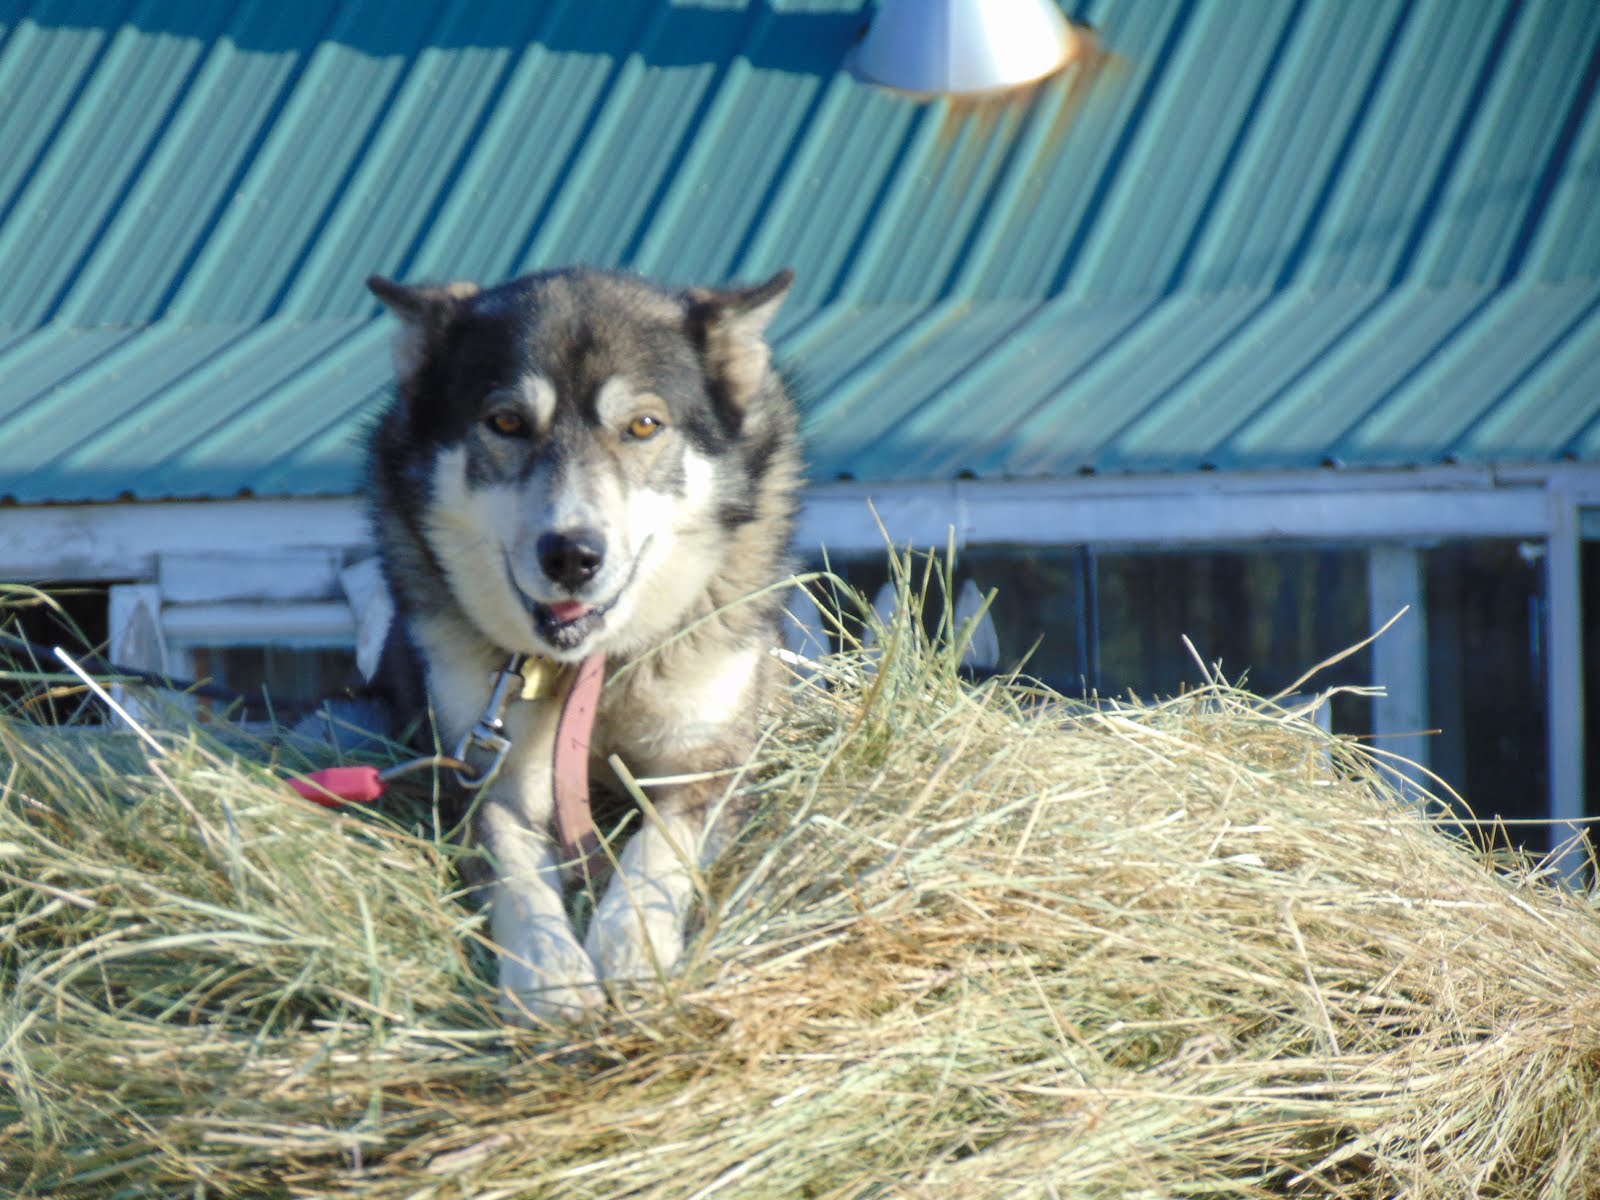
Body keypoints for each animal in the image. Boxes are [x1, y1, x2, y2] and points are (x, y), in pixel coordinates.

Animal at [366, 265, 796, 1024]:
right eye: (506, 422)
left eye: (644, 425)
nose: (572, 555)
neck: (593, 671)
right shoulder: (490, 776)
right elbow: (518, 878)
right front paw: (552, 976)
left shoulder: (704, 766)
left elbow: (657, 852)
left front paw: (632, 952)